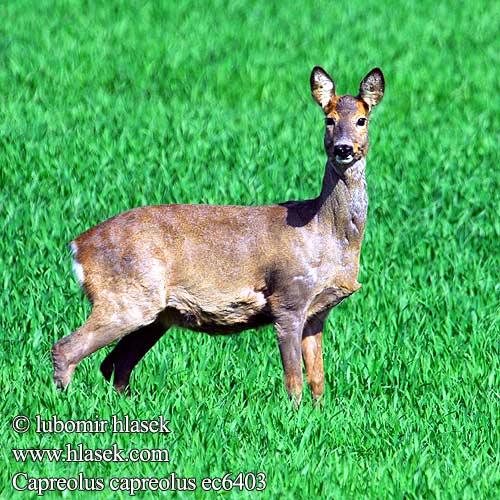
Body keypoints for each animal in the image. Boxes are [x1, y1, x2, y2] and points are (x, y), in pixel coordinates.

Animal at [52, 64, 384, 404]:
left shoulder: (318, 311)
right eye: (329, 119)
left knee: (114, 365)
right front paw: (294, 413)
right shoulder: (288, 298)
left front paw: (318, 412)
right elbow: (294, 380)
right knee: (66, 349)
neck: (325, 232)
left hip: (155, 313)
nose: (343, 148)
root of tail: (78, 247)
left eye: (362, 119)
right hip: (123, 298)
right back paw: (64, 403)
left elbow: (317, 380)